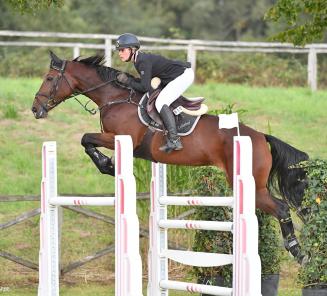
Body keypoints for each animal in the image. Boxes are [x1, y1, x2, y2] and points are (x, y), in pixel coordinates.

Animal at [32, 51, 310, 264]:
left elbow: (85, 138)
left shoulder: (120, 139)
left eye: (49, 78)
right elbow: (86, 140)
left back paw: (297, 250)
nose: (35, 109)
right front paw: (107, 164)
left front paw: (106, 165)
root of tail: (261, 136)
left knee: (281, 208)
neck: (115, 98)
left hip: (252, 186)